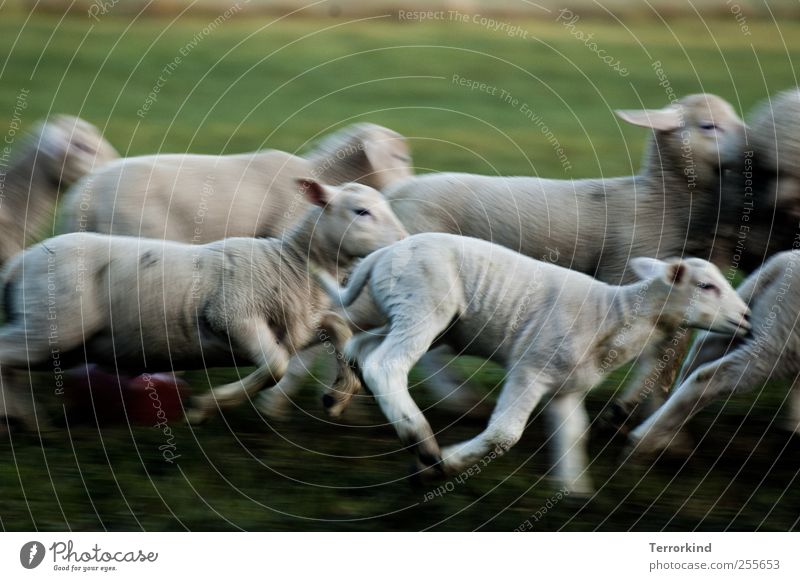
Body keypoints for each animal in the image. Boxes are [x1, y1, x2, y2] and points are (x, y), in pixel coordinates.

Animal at [0, 178, 406, 430]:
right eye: (361, 211)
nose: (405, 241)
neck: (289, 262)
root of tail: (18, 263)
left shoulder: (298, 325)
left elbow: (339, 331)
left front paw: (337, 396)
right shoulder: (233, 317)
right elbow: (275, 366)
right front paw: (206, 407)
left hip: (57, 339)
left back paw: (29, 421)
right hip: (52, 326)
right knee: (6, 357)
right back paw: (19, 418)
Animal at [314, 233, 752, 492]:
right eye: (707, 286)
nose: (747, 317)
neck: (613, 314)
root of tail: (383, 253)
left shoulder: (566, 387)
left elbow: (573, 436)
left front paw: (575, 493)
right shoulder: (531, 368)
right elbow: (504, 434)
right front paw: (443, 467)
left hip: (426, 320)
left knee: (361, 347)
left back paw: (339, 396)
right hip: (424, 306)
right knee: (385, 365)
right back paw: (422, 443)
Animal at [632, 248, 800, 454]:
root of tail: (779, 266)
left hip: (755, 316)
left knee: (699, 351)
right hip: (781, 340)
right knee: (710, 376)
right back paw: (644, 437)